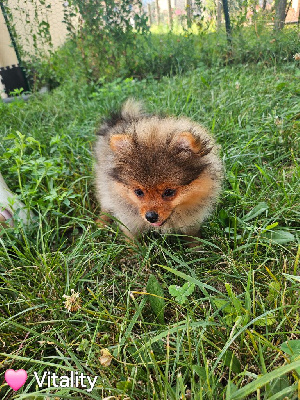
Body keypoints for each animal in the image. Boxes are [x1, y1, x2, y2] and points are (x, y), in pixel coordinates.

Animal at [94, 99, 223, 241]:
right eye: (138, 192)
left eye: (169, 192)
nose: (151, 216)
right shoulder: (129, 222)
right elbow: (132, 240)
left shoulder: (191, 223)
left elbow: (193, 237)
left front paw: (197, 246)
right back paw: (100, 223)